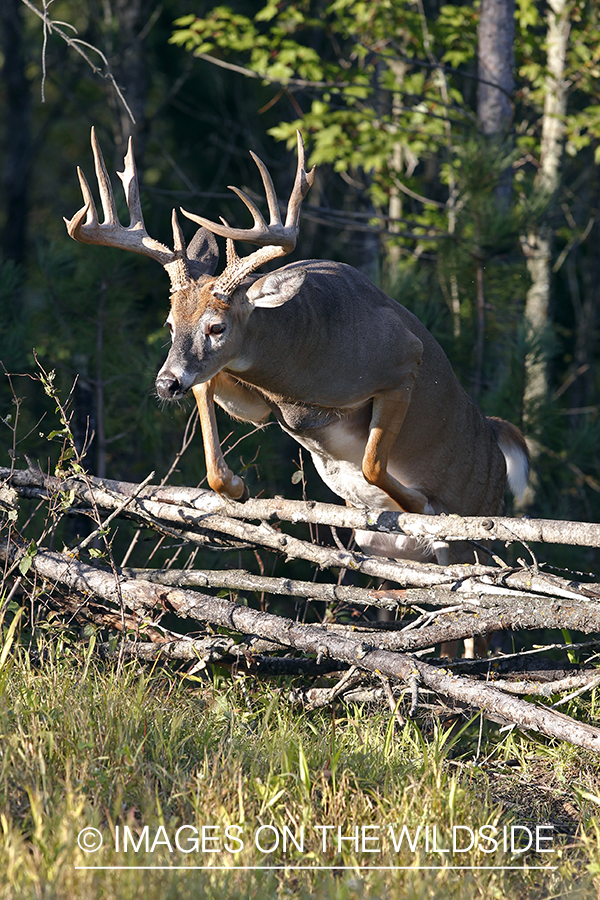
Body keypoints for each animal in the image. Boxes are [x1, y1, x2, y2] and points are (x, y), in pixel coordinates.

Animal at [63, 128, 528, 620]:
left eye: (217, 326)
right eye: (170, 324)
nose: (165, 383)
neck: (304, 366)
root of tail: (496, 449)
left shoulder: (405, 361)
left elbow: (371, 462)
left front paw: (421, 503)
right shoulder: (263, 404)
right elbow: (210, 402)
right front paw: (237, 486)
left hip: (477, 538)